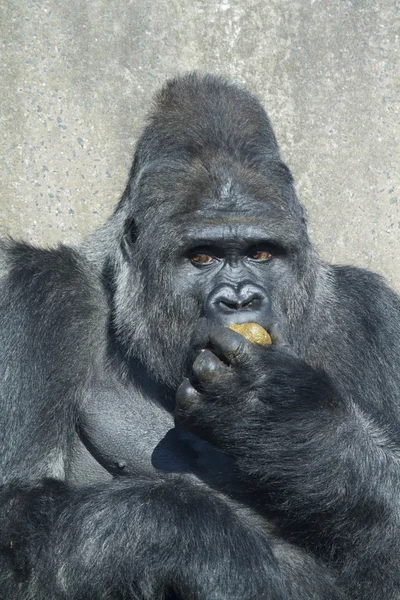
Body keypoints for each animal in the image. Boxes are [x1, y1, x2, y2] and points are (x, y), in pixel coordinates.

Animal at [0, 74, 400, 600]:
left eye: (260, 253)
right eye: (202, 257)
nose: (239, 300)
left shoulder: (371, 315)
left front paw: (291, 418)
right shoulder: (41, 294)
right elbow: (19, 510)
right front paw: (203, 541)